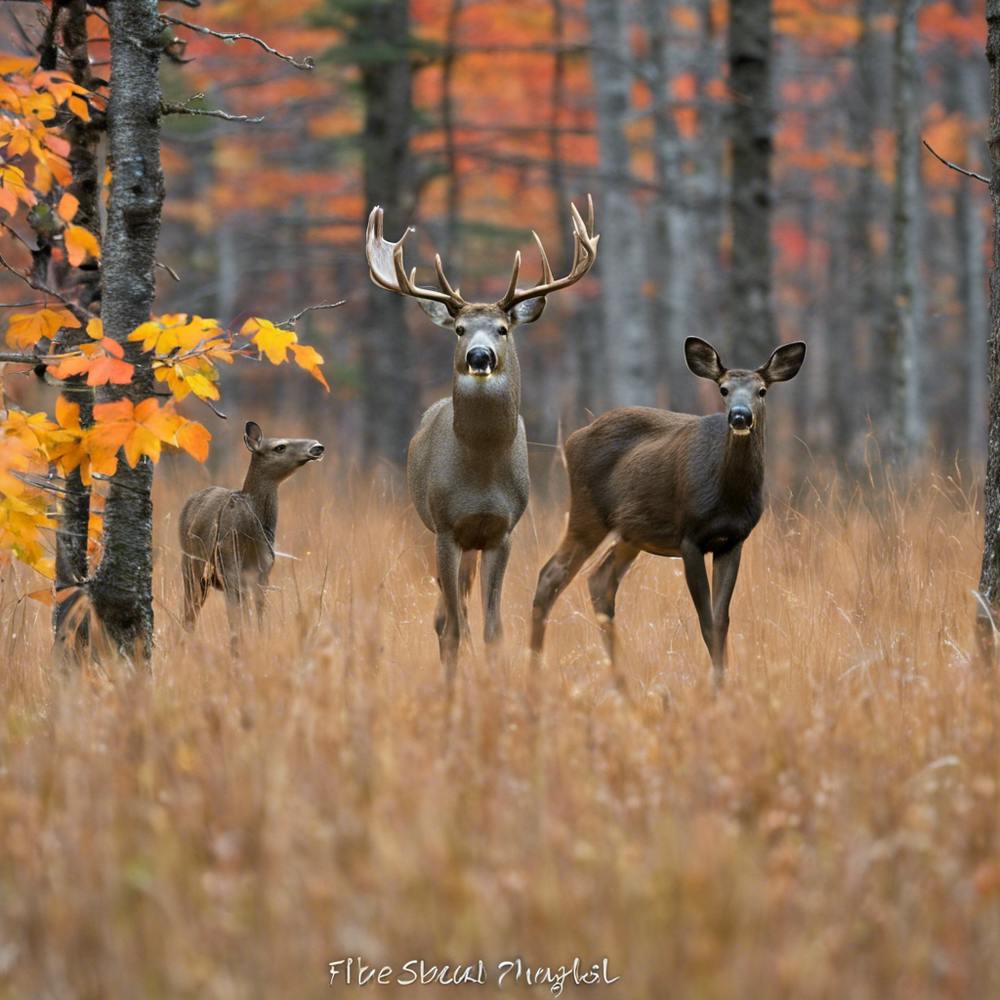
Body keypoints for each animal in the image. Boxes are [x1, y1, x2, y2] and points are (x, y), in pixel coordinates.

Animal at [179, 421, 325, 654]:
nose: (317, 446)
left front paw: (259, 641)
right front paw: (238, 649)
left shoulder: (263, 572)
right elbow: (236, 620)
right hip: (191, 567)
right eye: (279, 447)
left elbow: (258, 616)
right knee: (190, 612)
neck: (251, 537)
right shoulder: (229, 568)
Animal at [365, 198, 599, 682]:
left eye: (502, 329)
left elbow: (494, 630)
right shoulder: (445, 527)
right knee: (444, 616)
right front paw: (453, 686)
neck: (480, 474)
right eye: (459, 330)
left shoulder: (501, 530)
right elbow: (454, 626)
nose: (479, 356)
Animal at [530, 336, 806, 689]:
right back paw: (535, 671)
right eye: (723, 389)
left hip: (630, 534)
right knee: (551, 575)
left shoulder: (733, 540)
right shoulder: (690, 537)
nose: (740, 416)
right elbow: (706, 622)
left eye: (762, 391)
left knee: (600, 580)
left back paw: (620, 680)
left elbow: (721, 621)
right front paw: (716, 689)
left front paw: (724, 684)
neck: (727, 496)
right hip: (587, 513)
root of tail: (572, 439)